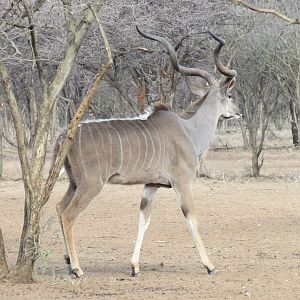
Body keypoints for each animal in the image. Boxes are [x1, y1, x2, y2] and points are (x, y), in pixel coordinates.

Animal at [55, 27, 240, 278]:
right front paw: (210, 265)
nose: (238, 112)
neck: (189, 130)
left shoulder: (151, 185)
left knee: (58, 207)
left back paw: (67, 261)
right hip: (91, 185)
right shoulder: (182, 182)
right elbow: (191, 218)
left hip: (75, 183)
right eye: (229, 96)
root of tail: (64, 137)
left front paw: (134, 267)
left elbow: (143, 220)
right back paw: (77, 268)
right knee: (68, 215)